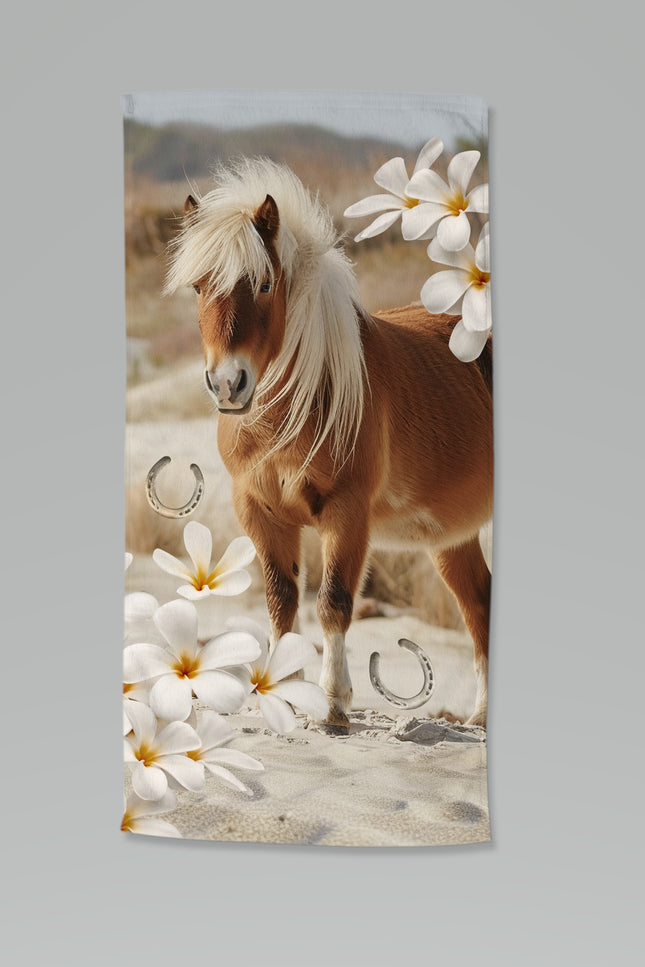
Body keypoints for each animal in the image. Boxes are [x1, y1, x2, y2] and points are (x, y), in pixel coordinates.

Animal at [165, 157, 493, 733]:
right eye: (200, 287)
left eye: (265, 283)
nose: (228, 384)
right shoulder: (259, 511)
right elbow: (281, 601)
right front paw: (283, 696)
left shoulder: (347, 511)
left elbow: (334, 601)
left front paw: (334, 704)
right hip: (454, 537)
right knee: (479, 606)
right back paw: (478, 716)